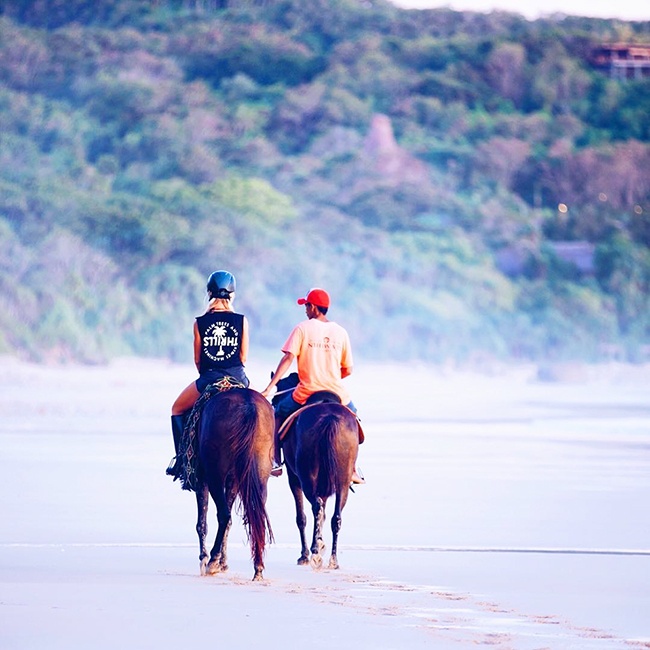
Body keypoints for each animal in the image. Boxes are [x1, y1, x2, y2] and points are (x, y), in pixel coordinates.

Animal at [192, 388, 274, 580]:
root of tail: (249, 406)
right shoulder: (234, 480)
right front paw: (223, 563)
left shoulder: (202, 478)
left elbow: (202, 523)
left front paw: (205, 559)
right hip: (260, 472)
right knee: (256, 514)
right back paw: (258, 568)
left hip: (215, 474)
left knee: (224, 514)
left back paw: (212, 561)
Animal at [278, 390, 360, 568]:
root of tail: (330, 418)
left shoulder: (293, 477)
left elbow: (301, 517)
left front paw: (304, 555)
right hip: (342, 480)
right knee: (336, 517)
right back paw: (333, 559)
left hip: (306, 476)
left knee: (316, 507)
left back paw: (314, 549)